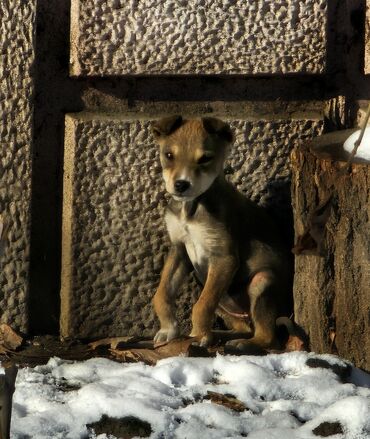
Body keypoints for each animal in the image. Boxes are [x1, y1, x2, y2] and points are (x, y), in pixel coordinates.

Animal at [152, 116, 290, 354]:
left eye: (205, 158)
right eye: (169, 155)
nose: (181, 184)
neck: (191, 207)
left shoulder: (224, 258)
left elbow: (201, 306)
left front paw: (198, 336)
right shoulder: (179, 249)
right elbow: (162, 293)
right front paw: (168, 329)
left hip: (262, 281)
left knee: (268, 338)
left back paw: (242, 343)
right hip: (211, 289)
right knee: (243, 326)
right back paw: (221, 335)